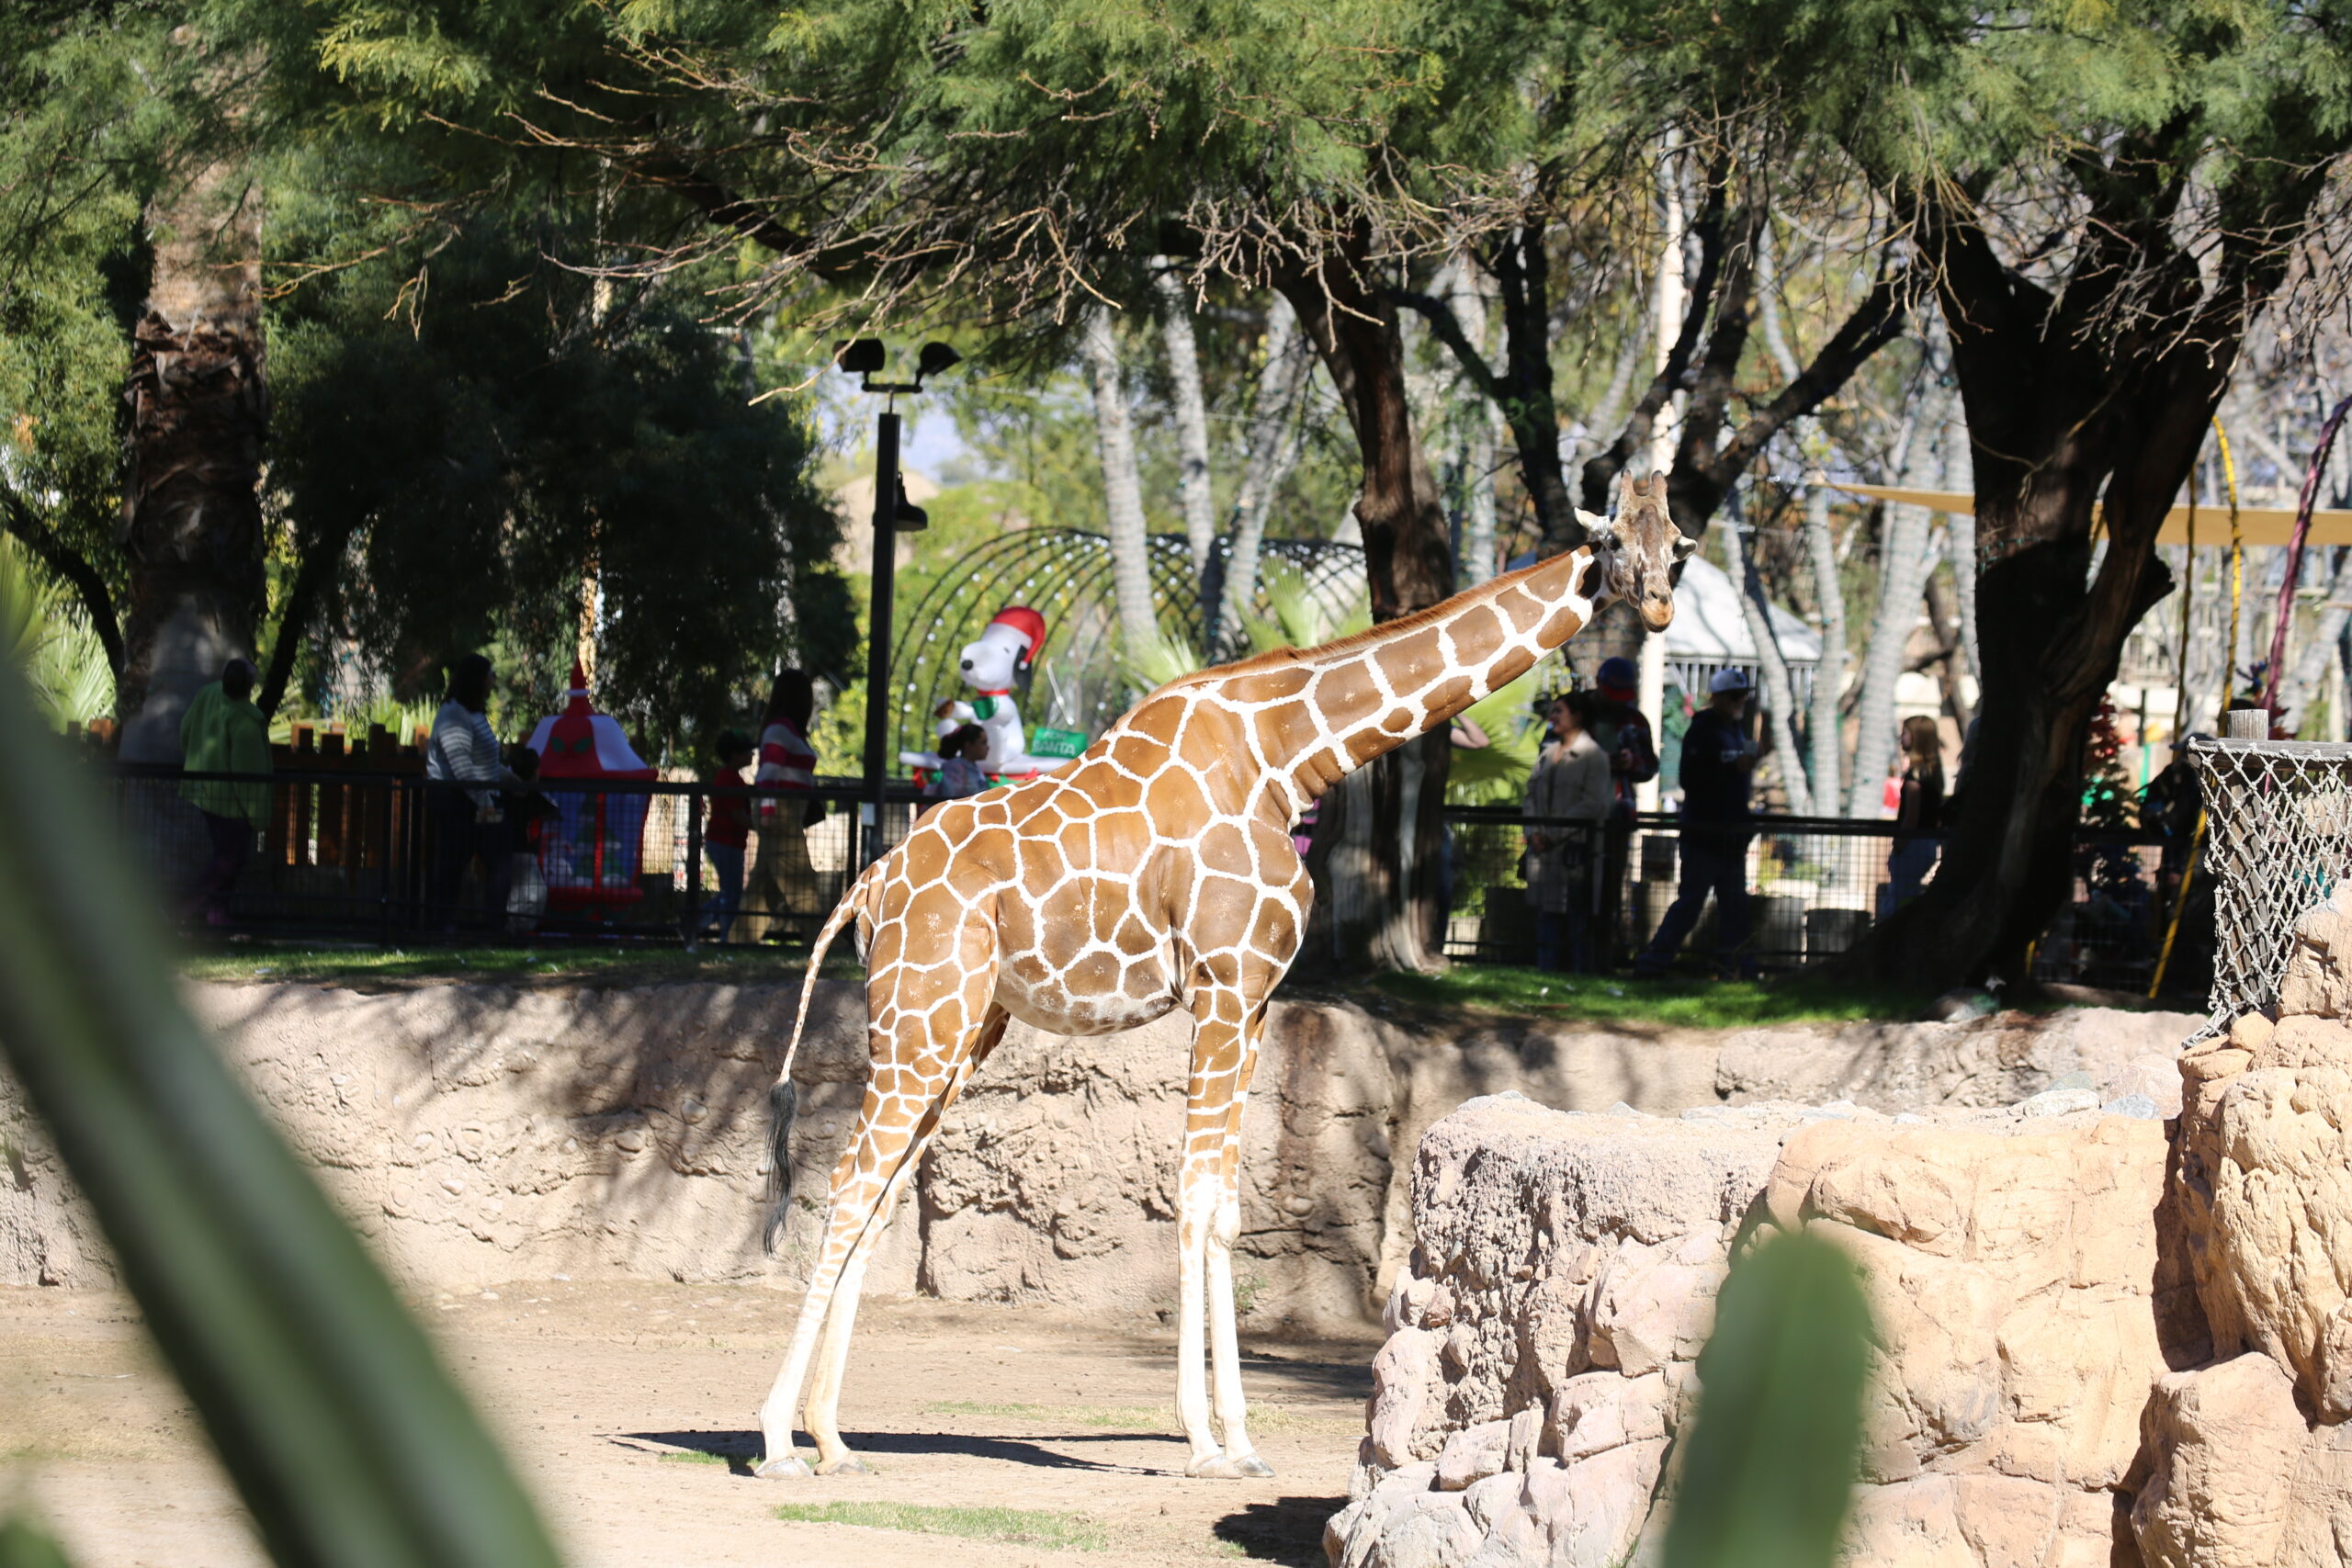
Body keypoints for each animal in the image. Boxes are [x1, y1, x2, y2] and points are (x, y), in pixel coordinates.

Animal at [752, 472, 1693, 1476]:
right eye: (1616, 543)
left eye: (1676, 544)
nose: (1657, 607)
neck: (1288, 753)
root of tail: (866, 886)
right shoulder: (1222, 985)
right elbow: (1197, 1204)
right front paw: (1205, 1438)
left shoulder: (1253, 1003)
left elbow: (1227, 1209)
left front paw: (1238, 1437)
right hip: (922, 1016)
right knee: (849, 1183)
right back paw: (777, 1439)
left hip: (965, 1026)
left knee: (882, 1193)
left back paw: (833, 1436)